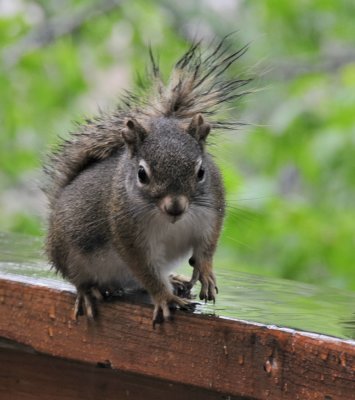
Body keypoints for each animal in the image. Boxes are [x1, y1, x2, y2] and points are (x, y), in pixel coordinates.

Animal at [43, 36, 250, 326]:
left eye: (201, 172)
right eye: (142, 174)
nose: (175, 207)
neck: (171, 222)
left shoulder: (211, 212)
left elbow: (207, 247)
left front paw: (206, 272)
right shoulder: (128, 235)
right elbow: (146, 271)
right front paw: (164, 298)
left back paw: (176, 279)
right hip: (68, 252)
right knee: (81, 278)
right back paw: (88, 292)